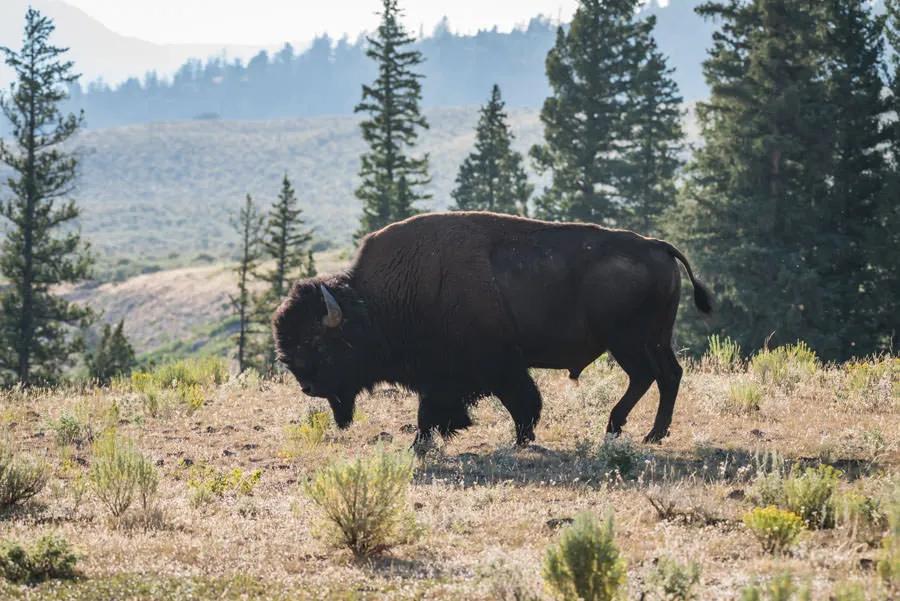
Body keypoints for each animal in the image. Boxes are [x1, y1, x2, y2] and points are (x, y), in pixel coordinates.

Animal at [274, 212, 712, 450]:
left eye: (318, 342)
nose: (307, 387)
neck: (379, 300)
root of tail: (658, 246)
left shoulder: (496, 366)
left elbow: (520, 402)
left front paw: (518, 439)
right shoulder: (445, 375)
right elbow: (436, 409)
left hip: (629, 342)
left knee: (650, 376)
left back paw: (632, 430)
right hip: (652, 339)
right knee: (666, 375)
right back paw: (643, 431)